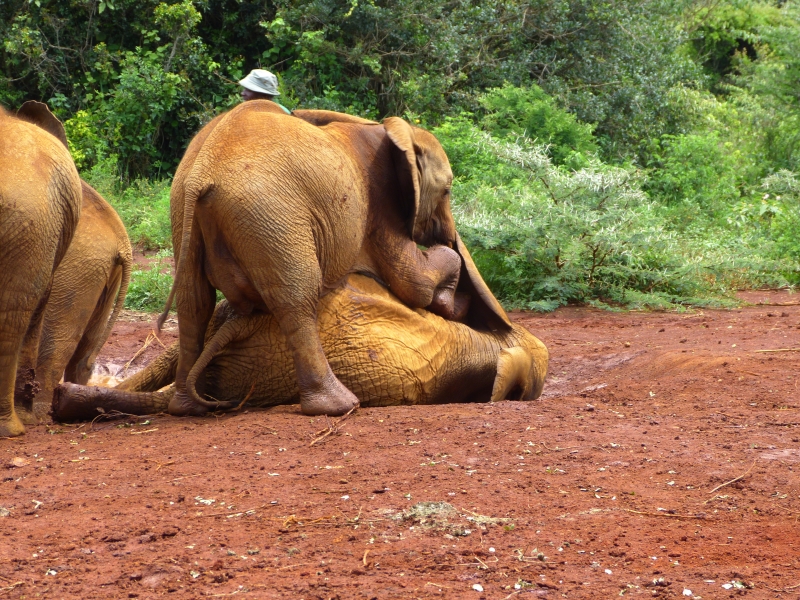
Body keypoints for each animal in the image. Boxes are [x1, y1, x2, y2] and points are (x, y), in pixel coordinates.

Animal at [14, 102, 133, 420]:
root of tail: (122, 241)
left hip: (77, 272)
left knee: (53, 348)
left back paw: (40, 413)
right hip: (98, 273)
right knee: (84, 354)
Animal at [158, 100, 511, 418]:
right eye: (447, 191)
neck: (395, 133)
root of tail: (201, 175)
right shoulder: (379, 199)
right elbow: (413, 282)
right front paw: (456, 303)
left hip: (184, 211)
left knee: (193, 302)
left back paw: (187, 408)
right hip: (270, 215)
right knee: (297, 299)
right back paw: (340, 406)